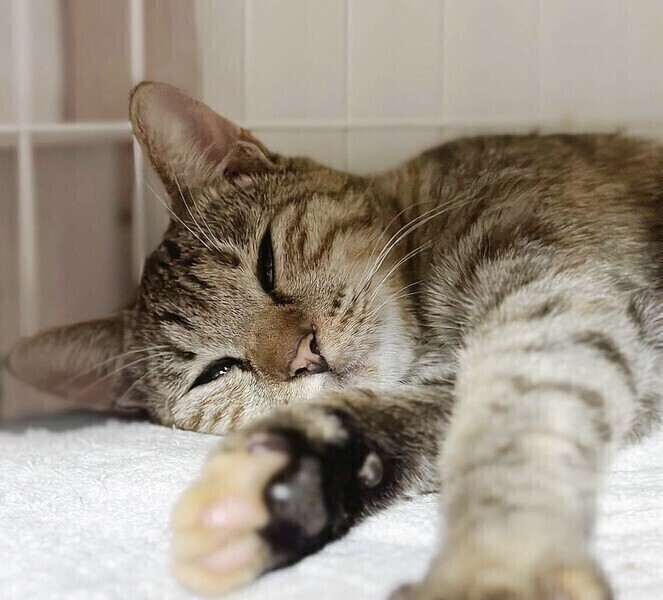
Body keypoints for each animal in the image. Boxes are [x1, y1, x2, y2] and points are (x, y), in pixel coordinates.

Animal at [7, 81, 663, 600]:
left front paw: (501, 559)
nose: (303, 355)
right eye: (214, 372)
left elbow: (519, 419)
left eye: (267, 263)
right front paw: (292, 485)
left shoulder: (558, 289)